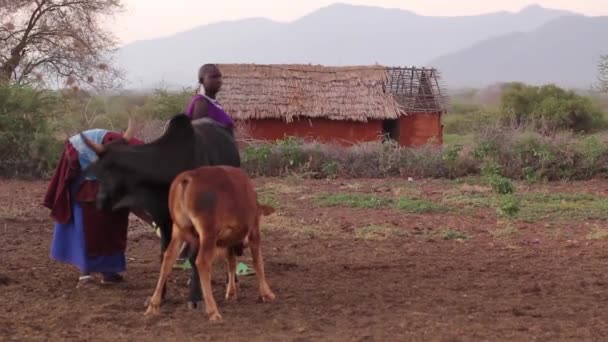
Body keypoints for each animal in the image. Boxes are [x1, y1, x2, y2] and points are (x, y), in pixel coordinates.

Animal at [80, 113, 240, 308]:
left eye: (104, 173)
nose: (100, 203)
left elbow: (193, 257)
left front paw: (195, 297)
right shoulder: (163, 219)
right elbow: (164, 255)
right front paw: (160, 295)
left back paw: (231, 281)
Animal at [144, 166, 276, 320]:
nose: (240, 249)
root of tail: (187, 178)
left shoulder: (226, 243)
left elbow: (231, 263)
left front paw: (231, 291)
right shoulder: (253, 229)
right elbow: (257, 262)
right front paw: (266, 293)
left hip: (178, 230)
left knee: (168, 259)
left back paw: (153, 305)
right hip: (208, 234)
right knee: (202, 262)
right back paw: (213, 310)